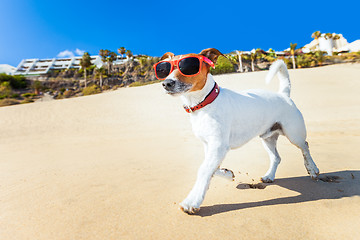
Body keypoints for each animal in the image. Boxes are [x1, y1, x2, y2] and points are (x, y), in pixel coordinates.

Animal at [153, 47, 320, 214]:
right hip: (267, 137)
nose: (166, 83)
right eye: (164, 69)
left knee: (305, 146)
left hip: (294, 134)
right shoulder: (210, 145)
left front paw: (192, 201)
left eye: (188, 67)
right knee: (276, 157)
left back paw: (312, 169)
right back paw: (269, 176)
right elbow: (212, 168)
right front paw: (228, 174)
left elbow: (203, 169)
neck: (204, 103)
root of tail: (283, 94)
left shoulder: (218, 146)